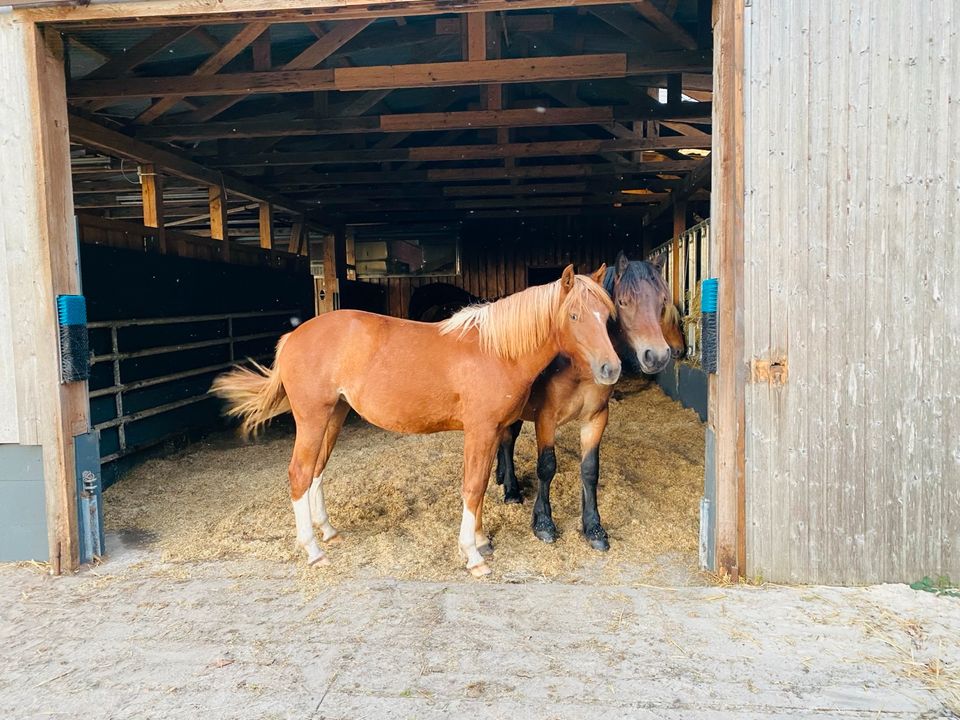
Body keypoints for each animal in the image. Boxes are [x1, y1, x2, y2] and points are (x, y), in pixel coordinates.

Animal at [211, 268, 620, 576]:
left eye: (606, 315)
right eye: (574, 316)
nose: (610, 368)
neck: (496, 349)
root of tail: (294, 336)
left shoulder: (492, 432)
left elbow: (481, 486)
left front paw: (481, 541)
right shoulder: (481, 430)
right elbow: (473, 487)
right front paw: (473, 555)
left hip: (334, 415)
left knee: (316, 472)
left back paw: (327, 531)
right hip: (313, 416)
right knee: (299, 473)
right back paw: (313, 551)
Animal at [492, 253, 680, 552]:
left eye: (662, 300)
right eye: (623, 302)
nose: (658, 356)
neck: (577, 365)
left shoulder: (595, 418)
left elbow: (590, 470)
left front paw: (593, 527)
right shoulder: (546, 419)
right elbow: (546, 467)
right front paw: (543, 523)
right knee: (508, 440)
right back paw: (511, 489)